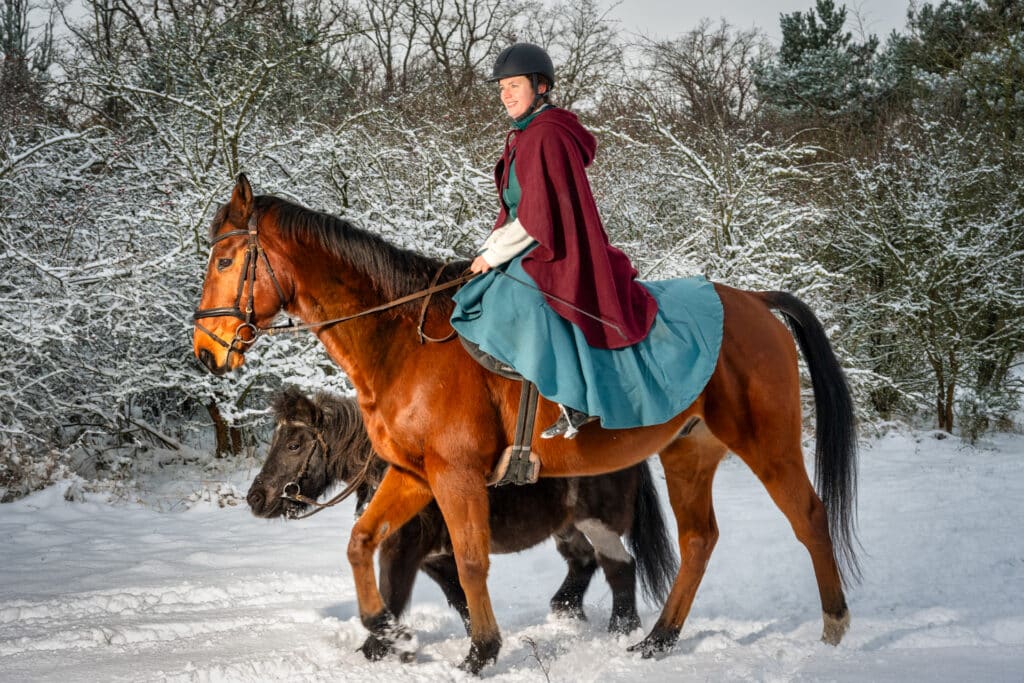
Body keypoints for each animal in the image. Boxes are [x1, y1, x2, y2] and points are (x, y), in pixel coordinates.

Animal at [246, 387, 678, 657]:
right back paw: (567, 611)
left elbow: (392, 597)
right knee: (583, 562)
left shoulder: (403, 550)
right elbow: (461, 599)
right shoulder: (435, 557)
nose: (256, 498)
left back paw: (623, 629)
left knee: (619, 566)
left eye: (294, 444)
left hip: (598, 522)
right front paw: (480, 641)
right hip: (568, 526)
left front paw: (381, 649)